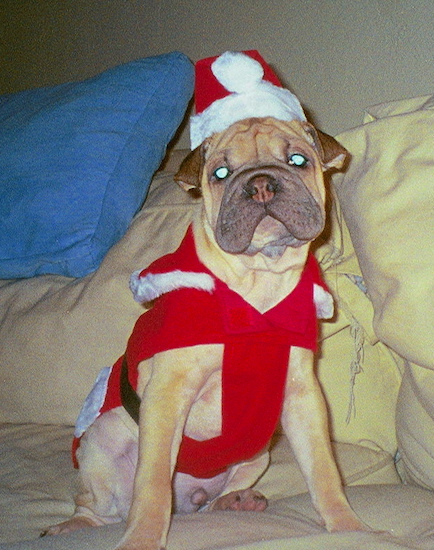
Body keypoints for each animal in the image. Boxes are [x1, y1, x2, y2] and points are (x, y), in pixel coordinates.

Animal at [45, 50, 370, 548]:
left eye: (297, 160)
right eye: (220, 173)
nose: (261, 184)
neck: (255, 287)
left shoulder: (303, 398)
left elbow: (325, 472)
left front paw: (348, 526)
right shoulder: (166, 394)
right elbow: (152, 486)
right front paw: (142, 538)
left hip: (257, 451)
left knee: (216, 497)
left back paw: (236, 502)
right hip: (100, 441)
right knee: (101, 506)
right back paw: (73, 525)